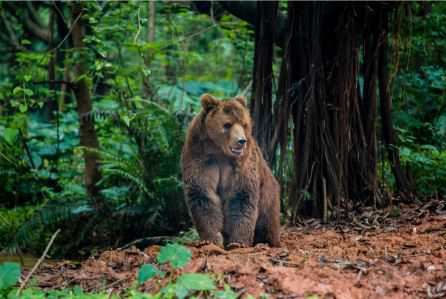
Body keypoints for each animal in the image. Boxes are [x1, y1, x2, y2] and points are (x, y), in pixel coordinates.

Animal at [180, 94, 278, 248]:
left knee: (267, 222)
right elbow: (203, 194)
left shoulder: (242, 163)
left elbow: (241, 197)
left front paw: (238, 242)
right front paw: (210, 239)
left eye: (244, 124)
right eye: (227, 124)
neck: (219, 150)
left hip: (268, 195)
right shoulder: (199, 156)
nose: (241, 141)